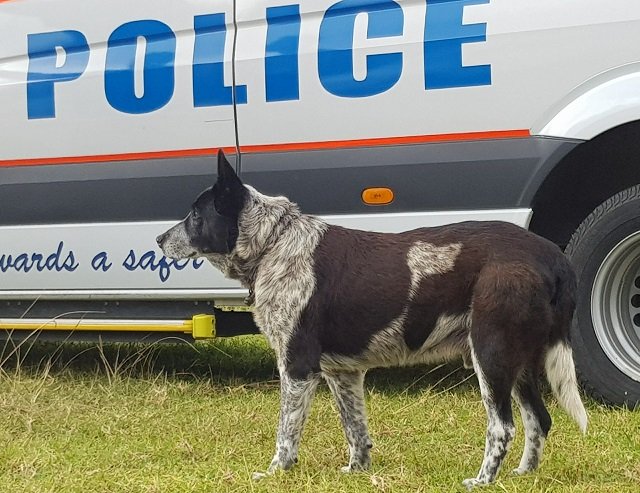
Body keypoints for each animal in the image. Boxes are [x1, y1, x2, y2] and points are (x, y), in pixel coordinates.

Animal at [158, 150, 588, 488]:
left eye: (194, 216)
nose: (160, 240)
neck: (274, 244)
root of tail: (551, 255)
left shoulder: (297, 367)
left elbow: (286, 433)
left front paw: (277, 472)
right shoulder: (342, 372)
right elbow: (355, 429)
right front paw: (357, 472)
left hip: (491, 355)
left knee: (503, 427)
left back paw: (483, 480)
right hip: (519, 363)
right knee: (539, 420)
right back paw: (523, 476)